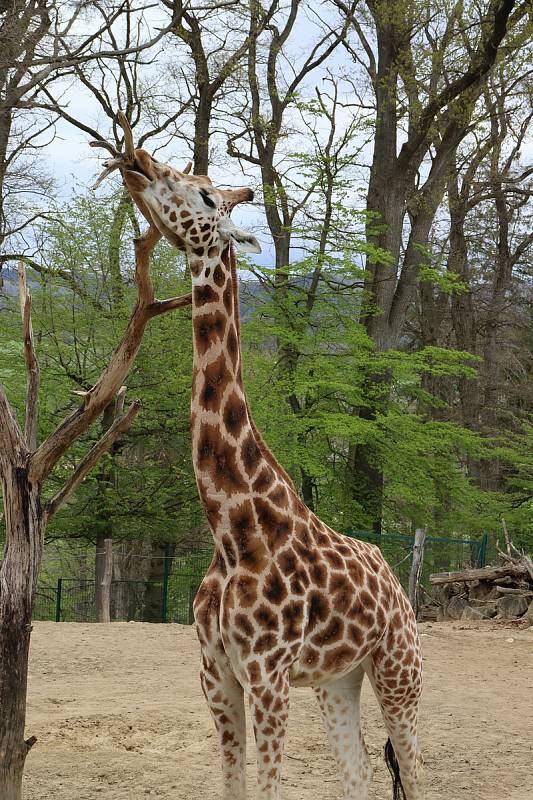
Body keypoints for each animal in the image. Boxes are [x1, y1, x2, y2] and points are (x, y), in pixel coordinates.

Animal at [121, 148, 424, 800]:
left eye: (207, 196)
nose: (138, 162)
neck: (232, 527)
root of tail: (397, 584)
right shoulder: (216, 675)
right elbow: (233, 786)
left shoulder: (268, 677)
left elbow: (266, 788)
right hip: (340, 680)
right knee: (361, 774)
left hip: (400, 670)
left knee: (415, 772)